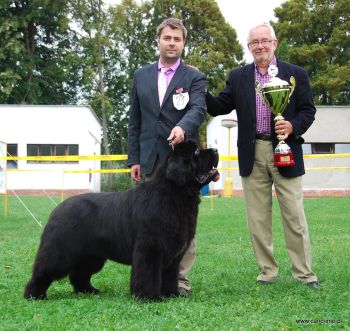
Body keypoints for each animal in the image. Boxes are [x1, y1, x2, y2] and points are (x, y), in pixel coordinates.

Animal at [23, 141, 219, 302]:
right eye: (196, 152)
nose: (216, 150)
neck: (174, 195)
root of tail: (57, 209)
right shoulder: (150, 249)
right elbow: (148, 275)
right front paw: (149, 298)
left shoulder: (173, 254)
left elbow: (170, 276)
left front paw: (171, 295)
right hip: (61, 251)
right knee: (44, 271)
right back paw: (34, 294)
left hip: (91, 255)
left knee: (79, 274)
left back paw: (89, 290)